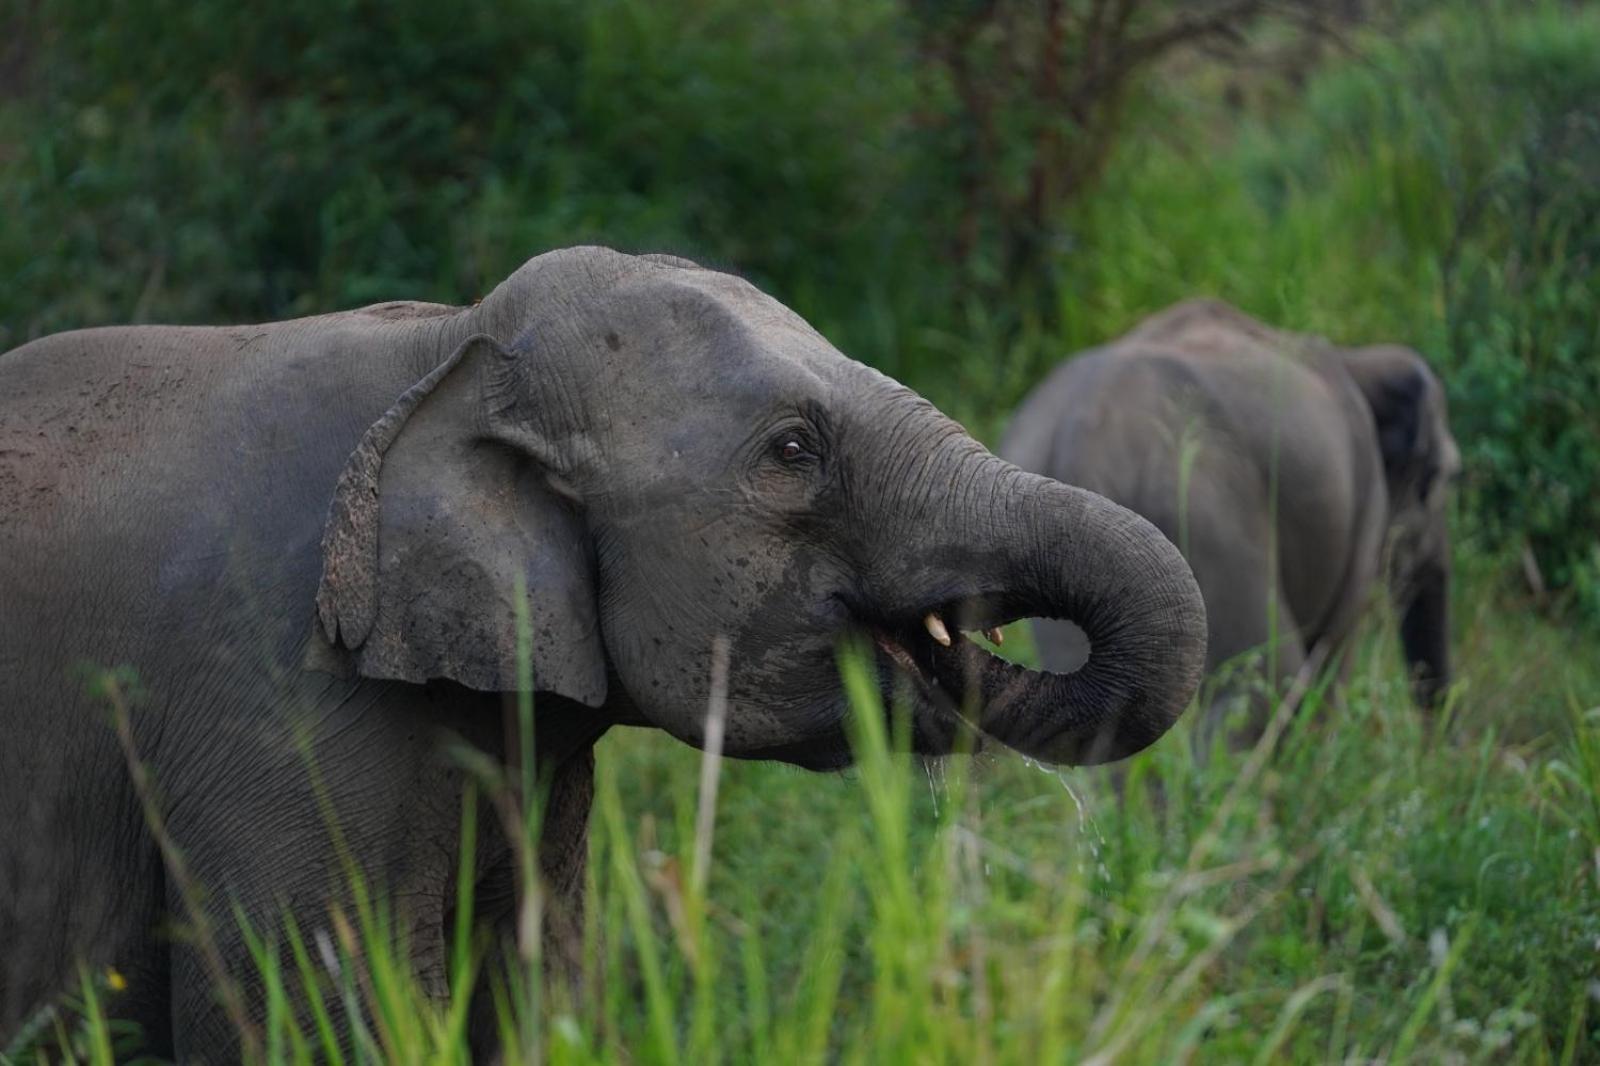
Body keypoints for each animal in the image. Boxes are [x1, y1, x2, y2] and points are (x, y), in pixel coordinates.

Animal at [1004, 294, 1459, 742]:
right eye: (1445, 477)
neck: (1358, 361)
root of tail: (1083, 433)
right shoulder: (1365, 510)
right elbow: (1331, 654)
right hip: (1214, 516)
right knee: (1258, 684)